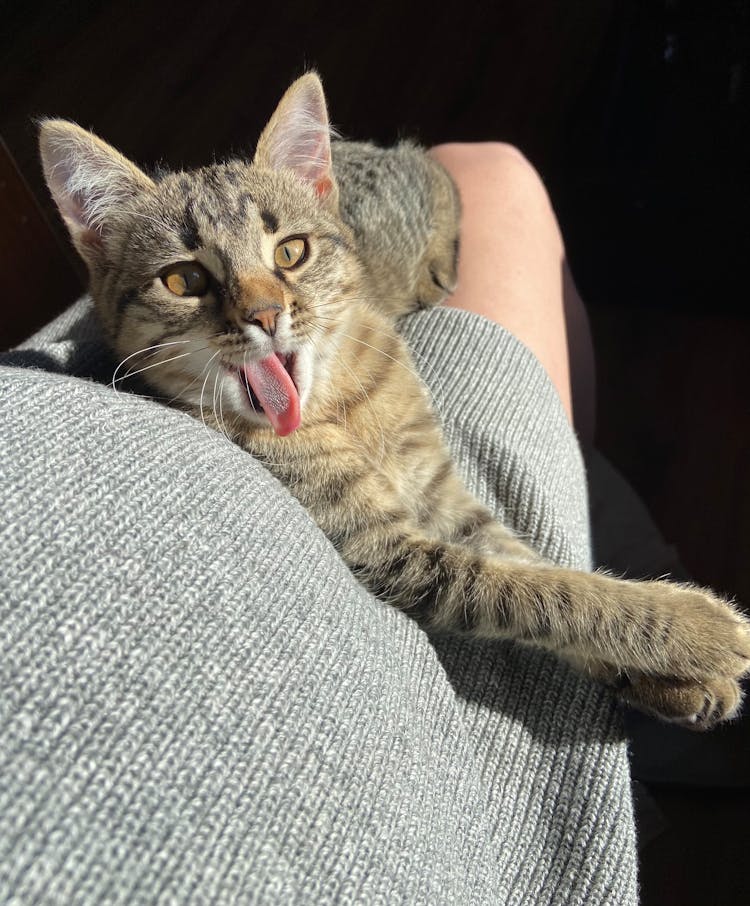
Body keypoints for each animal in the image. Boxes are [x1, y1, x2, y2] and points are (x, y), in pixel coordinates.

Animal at [39, 74, 750, 732]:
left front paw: (670, 663)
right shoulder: (387, 548)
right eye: (184, 280)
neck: (338, 407)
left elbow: (531, 561)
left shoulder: (442, 496)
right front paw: (692, 630)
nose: (265, 315)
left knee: (438, 170)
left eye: (290, 251)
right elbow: (533, 589)